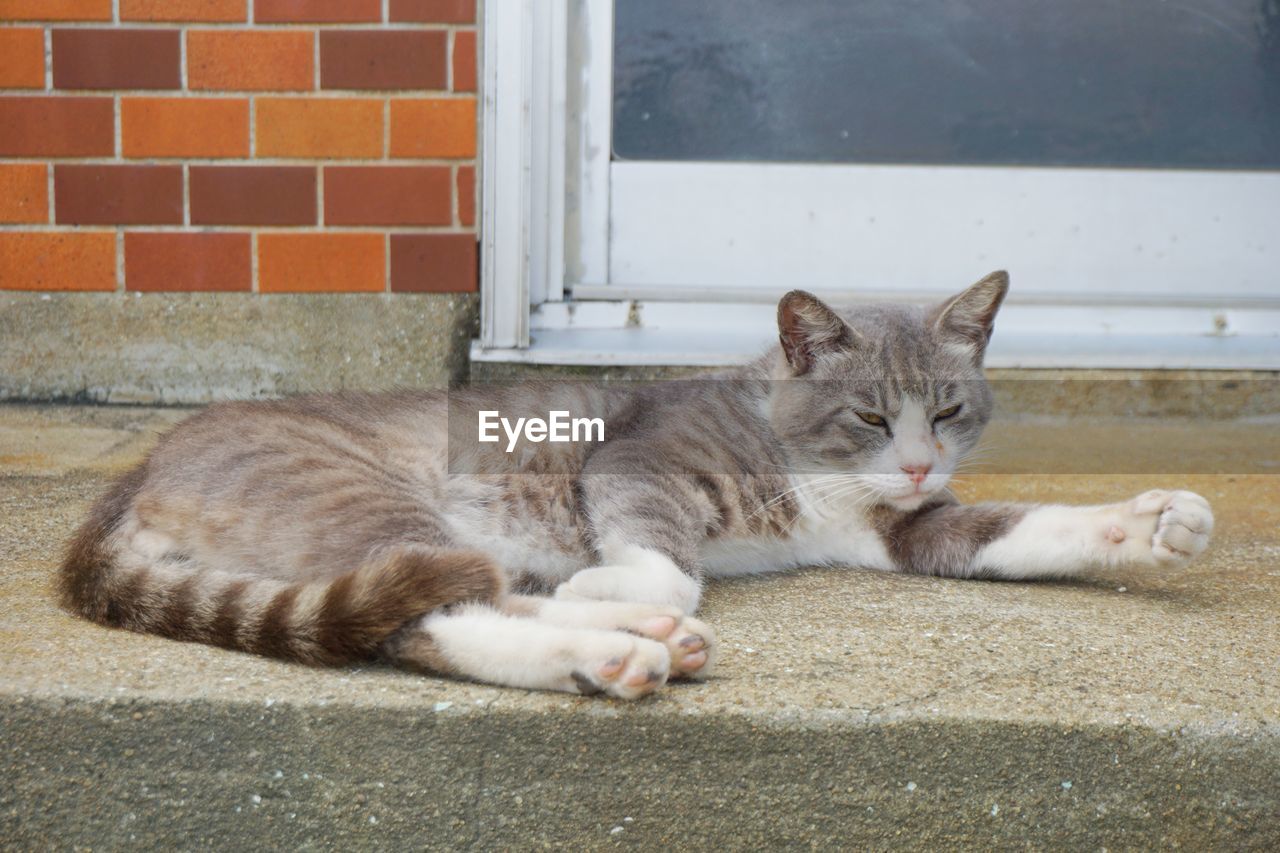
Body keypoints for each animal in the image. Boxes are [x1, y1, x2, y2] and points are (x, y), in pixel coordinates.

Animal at [60, 272, 1213, 696]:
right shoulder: (638, 461)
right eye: (870, 416)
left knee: (459, 594)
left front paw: (1158, 520)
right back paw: (613, 643)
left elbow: (1023, 527)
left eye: (951, 408)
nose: (919, 458)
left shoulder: (910, 530)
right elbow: (665, 555)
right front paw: (618, 588)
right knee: (434, 606)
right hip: (366, 498)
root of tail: (135, 473)